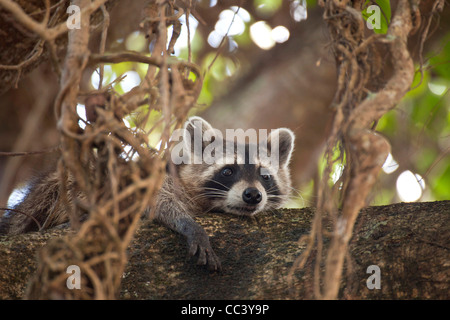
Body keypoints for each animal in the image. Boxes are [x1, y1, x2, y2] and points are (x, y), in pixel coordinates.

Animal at [0, 116, 296, 272]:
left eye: (265, 176)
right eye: (228, 171)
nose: (253, 196)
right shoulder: (157, 179)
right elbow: (155, 201)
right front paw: (189, 223)